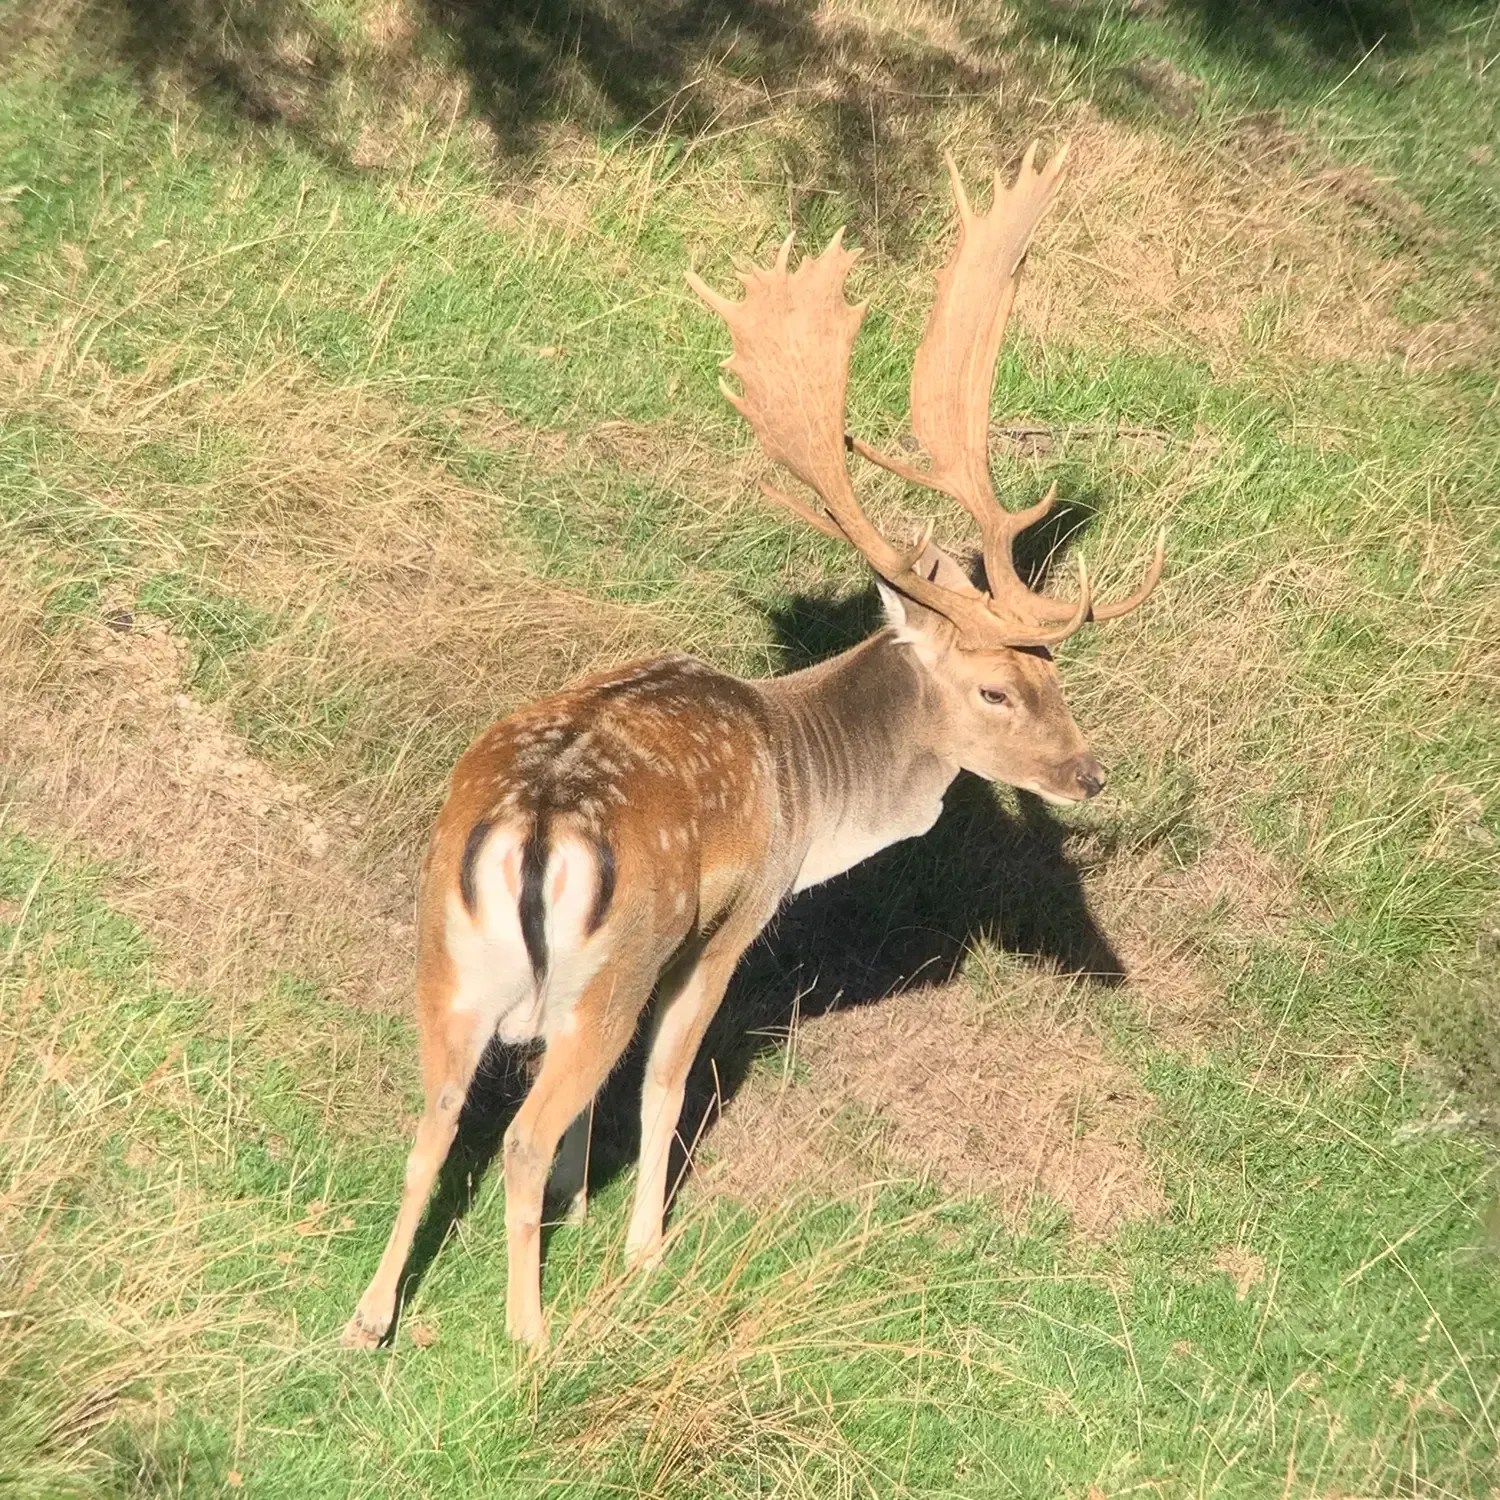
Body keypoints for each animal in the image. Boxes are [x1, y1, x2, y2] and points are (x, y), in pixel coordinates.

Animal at [342, 141, 1164, 1351]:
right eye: (997, 688)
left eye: (1052, 673)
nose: (1089, 773)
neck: (811, 792)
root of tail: (528, 829)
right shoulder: (727, 926)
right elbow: (665, 1084)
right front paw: (641, 1250)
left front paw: (582, 1211)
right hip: (607, 964)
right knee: (522, 1129)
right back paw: (533, 1334)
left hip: (448, 961)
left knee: (434, 1117)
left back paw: (370, 1318)